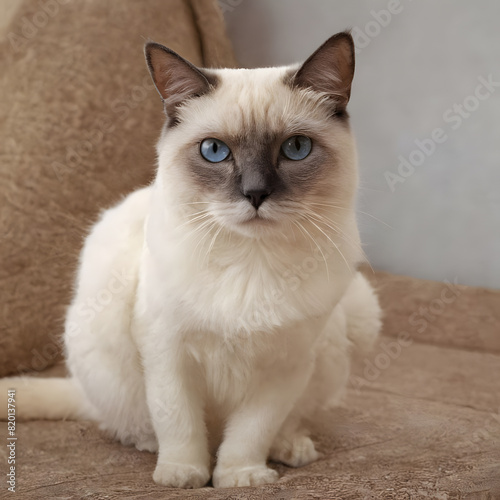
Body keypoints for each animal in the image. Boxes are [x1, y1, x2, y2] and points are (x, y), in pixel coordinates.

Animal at [0, 31, 382, 488]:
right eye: (214, 151)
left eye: (295, 148)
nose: (255, 194)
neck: (251, 263)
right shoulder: (167, 352)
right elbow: (179, 422)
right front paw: (184, 475)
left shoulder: (284, 367)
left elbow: (252, 431)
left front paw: (240, 477)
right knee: (127, 422)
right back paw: (151, 446)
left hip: (357, 317)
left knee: (285, 423)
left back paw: (291, 448)